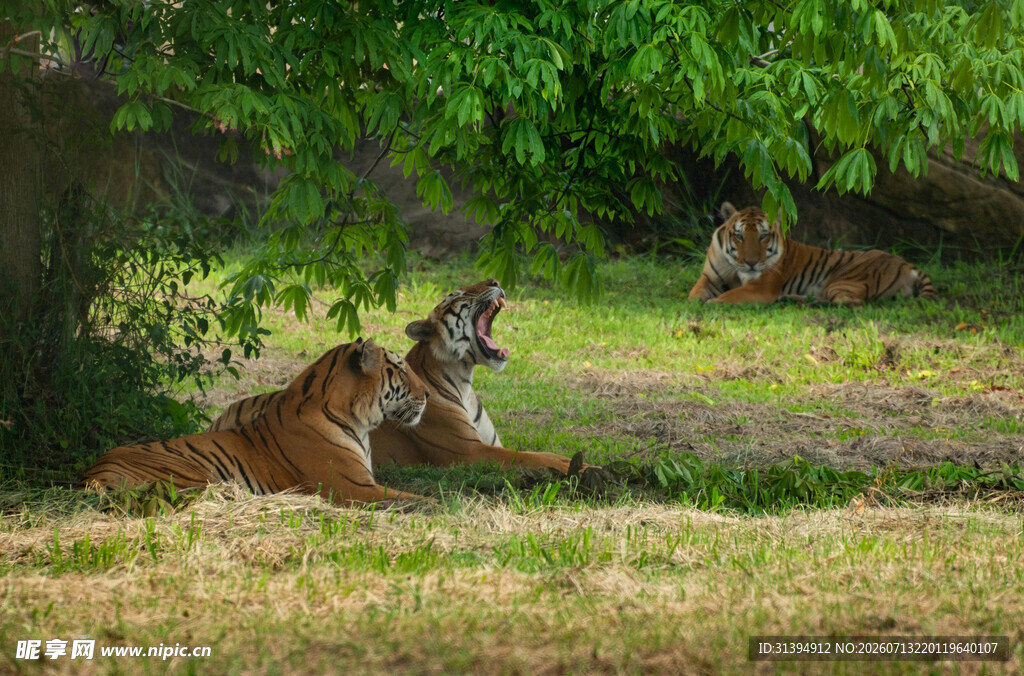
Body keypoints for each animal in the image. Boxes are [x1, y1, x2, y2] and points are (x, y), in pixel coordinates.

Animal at [82, 338, 430, 505]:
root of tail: (91, 474)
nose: (427, 393)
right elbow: (419, 498)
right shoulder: (353, 487)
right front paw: (439, 507)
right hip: (192, 474)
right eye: (400, 368)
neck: (358, 420)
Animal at [209, 279, 579, 474]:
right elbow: (531, 456)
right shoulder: (470, 453)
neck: (464, 379)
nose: (494, 282)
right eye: (458, 295)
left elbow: (534, 452)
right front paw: (574, 466)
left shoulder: (489, 444)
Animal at [688, 201, 936, 305]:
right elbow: (694, 293)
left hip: (844, 281)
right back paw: (792, 299)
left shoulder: (761, 287)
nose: (751, 262)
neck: (735, 267)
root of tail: (908, 265)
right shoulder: (709, 277)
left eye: (763, 236)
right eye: (739, 236)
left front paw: (714, 303)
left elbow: (730, 296)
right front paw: (698, 301)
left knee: (851, 304)